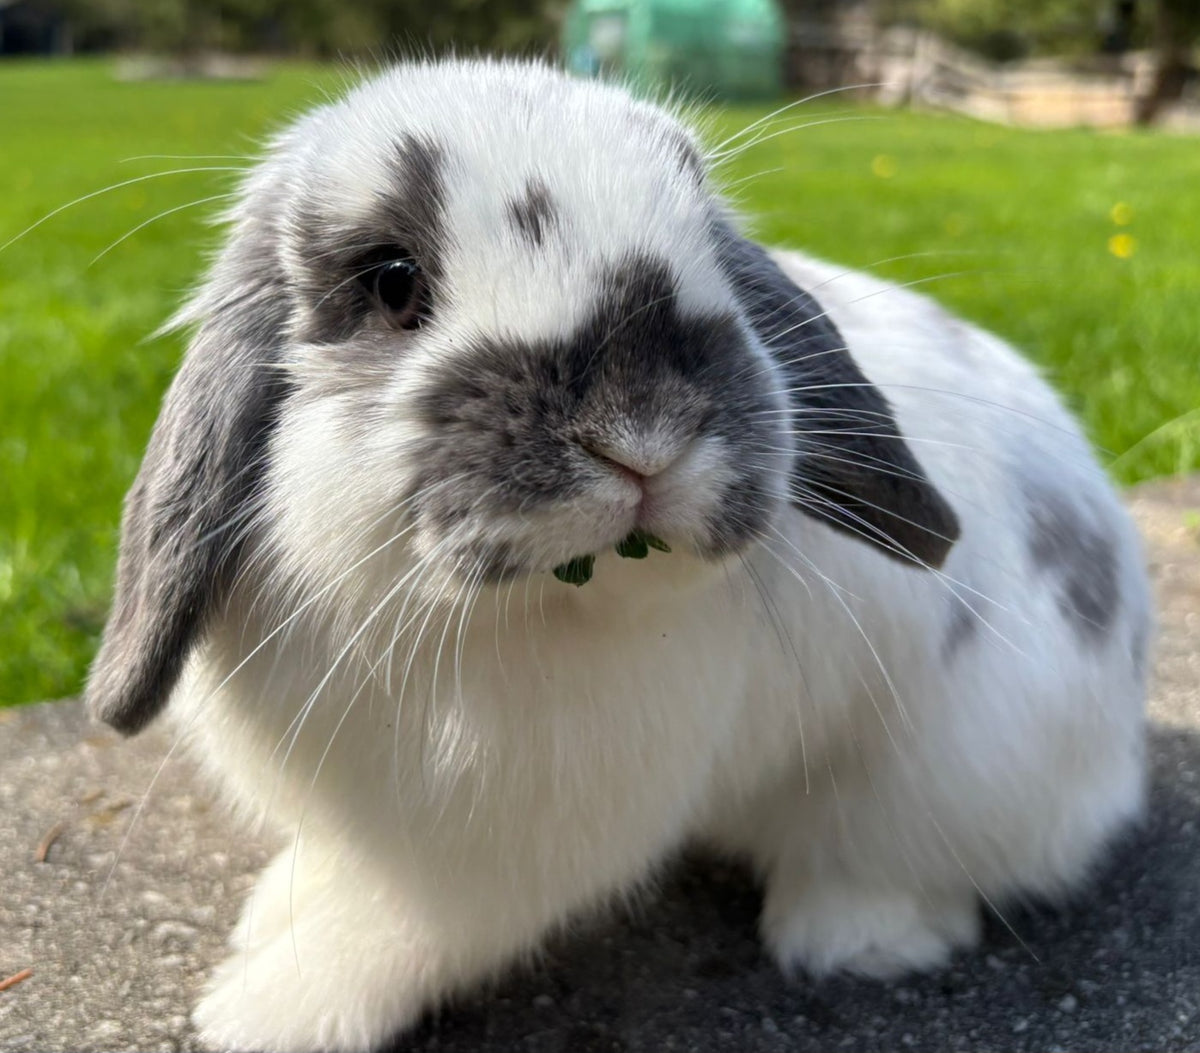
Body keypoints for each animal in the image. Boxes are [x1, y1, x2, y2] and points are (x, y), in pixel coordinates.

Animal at [85, 58, 1151, 1053]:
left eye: (708, 246)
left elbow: (399, 928)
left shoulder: (498, 851)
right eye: (391, 279)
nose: (642, 431)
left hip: (949, 776)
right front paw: (273, 915)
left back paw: (852, 937)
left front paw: (261, 1010)